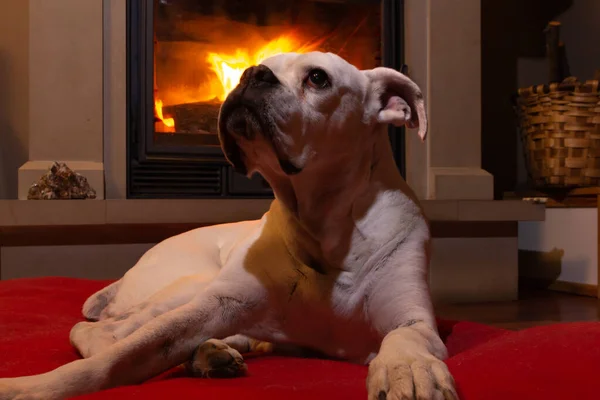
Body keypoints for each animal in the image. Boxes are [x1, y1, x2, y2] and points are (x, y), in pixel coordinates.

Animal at [0, 51, 458, 398]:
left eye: (318, 78)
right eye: (257, 67)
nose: (251, 73)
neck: (325, 229)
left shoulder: (413, 319)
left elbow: (405, 340)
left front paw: (409, 370)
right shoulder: (213, 305)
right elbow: (120, 356)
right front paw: (32, 387)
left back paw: (212, 353)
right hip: (191, 285)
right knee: (102, 331)